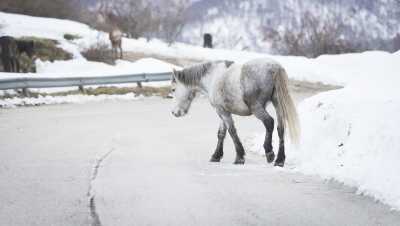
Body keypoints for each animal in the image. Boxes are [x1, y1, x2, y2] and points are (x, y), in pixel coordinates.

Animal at [171, 59, 300, 167]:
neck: (212, 77)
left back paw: (269, 152)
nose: (174, 112)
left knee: (269, 122)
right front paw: (216, 156)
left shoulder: (222, 112)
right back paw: (279, 160)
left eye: (173, 89)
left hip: (257, 108)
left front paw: (239, 157)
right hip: (278, 104)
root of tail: (275, 67)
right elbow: (221, 134)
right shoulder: (222, 112)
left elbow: (232, 131)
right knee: (280, 128)